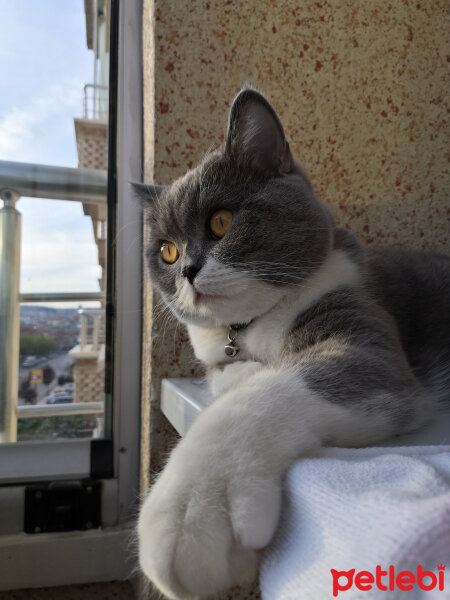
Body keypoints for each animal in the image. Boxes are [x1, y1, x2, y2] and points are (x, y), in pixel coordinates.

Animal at [133, 86, 450, 596]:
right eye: (167, 250)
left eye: (220, 222)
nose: (187, 272)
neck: (254, 325)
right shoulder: (215, 354)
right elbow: (224, 372)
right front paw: (245, 369)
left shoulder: (367, 334)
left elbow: (281, 384)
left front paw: (191, 508)